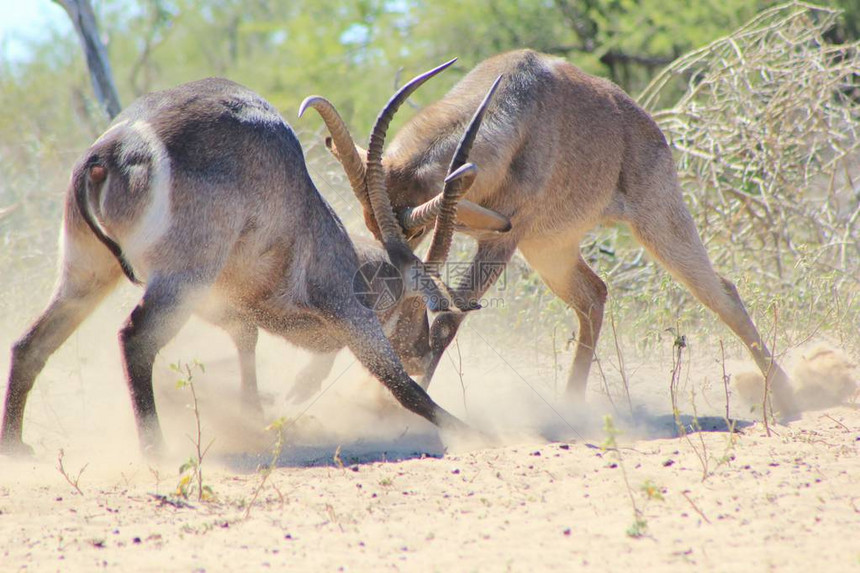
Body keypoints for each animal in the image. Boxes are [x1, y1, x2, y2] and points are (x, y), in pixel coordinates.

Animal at [0, 69, 494, 456]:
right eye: (414, 303)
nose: (422, 351)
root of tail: (110, 152)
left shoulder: (228, 306)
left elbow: (248, 349)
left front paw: (257, 414)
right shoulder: (349, 312)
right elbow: (402, 387)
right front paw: (477, 432)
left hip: (86, 275)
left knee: (30, 344)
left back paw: (17, 447)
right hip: (181, 280)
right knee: (135, 339)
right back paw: (156, 450)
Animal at [300, 49, 800, 416]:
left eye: (410, 227)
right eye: (369, 221)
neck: (515, 107)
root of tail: (644, 122)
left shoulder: (502, 240)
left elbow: (448, 320)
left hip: (658, 222)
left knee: (722, 294)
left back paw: (787, 399)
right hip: (549, 249)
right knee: (594, 295)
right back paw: (571, 405)